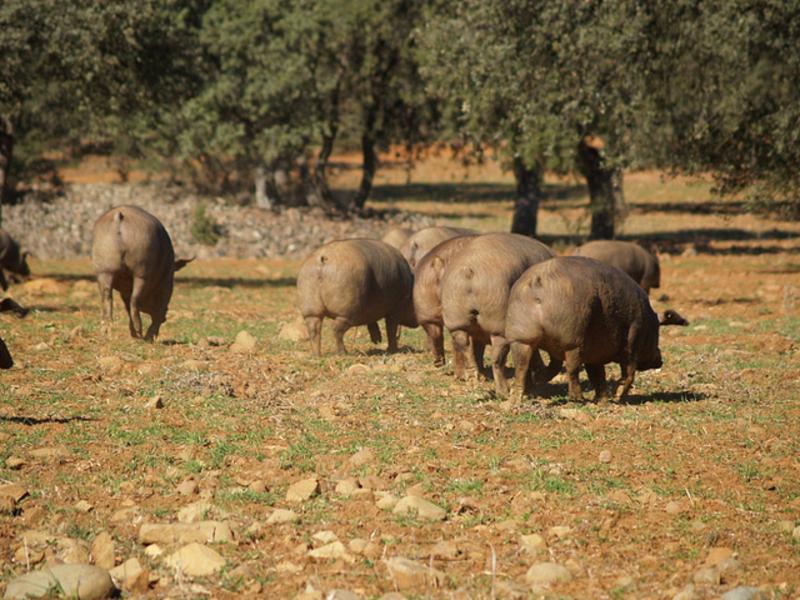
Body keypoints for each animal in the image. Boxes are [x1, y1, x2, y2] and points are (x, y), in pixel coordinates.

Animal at [91, 205, 193, 341]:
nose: (166, 318)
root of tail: (119, 215)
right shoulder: (166, 284)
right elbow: (158, 310)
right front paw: (150, 338)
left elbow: (126, 305)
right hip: (142, 267)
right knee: (135, 300)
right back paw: (140, 333)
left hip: (104, 267)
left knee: (107, 297)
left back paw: (106, 334)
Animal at [440, 232, 556, 394]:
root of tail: (469, 272)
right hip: (499, 325)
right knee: (497, 358)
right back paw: (503, 392)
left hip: (456, 321)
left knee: (466, 347)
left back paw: (474, 382)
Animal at [506, 256, 672, 404]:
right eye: (658, 332)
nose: (660, 360)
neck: (646, 324)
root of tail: (539, 280)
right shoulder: (632, 340)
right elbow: (628, 371)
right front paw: (617, 397)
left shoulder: (595, 352)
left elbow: (597, 375)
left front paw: (603, 401)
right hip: (572, 337)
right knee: (571, 368)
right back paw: (578, 399)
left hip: (521, 337)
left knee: (522, 366)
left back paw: (517, 399)